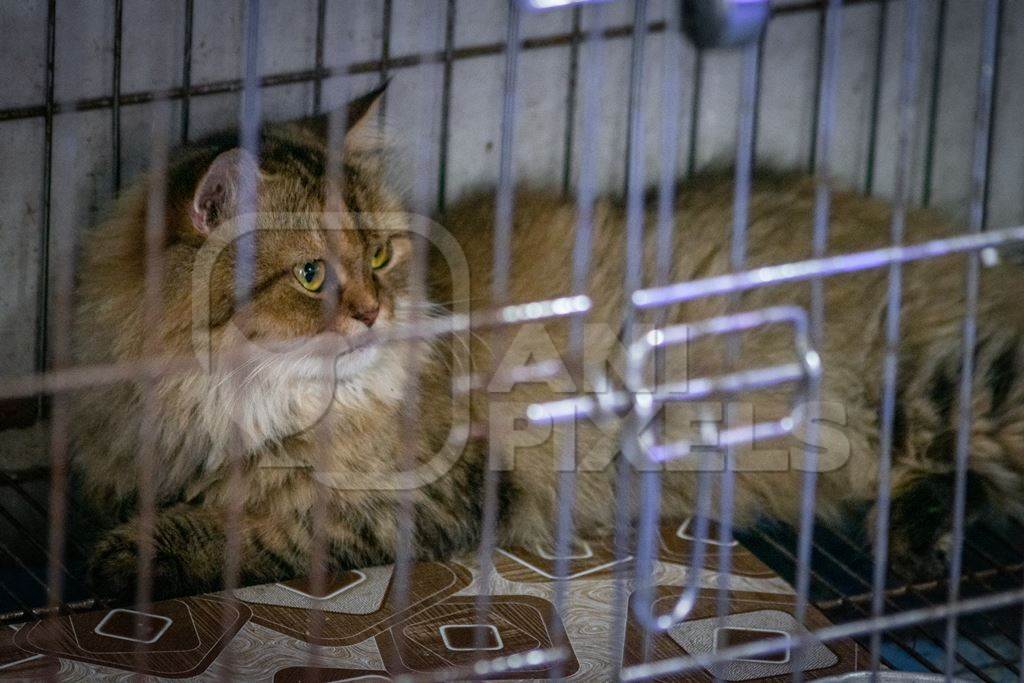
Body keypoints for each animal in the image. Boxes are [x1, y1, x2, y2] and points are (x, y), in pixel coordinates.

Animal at [74, 82, 1024, 602]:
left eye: (379, 255)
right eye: (312, 275)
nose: (377, 312)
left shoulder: (438, 492)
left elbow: (273, 523)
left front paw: (137, 553)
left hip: (956, 386)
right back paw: (918, 537)